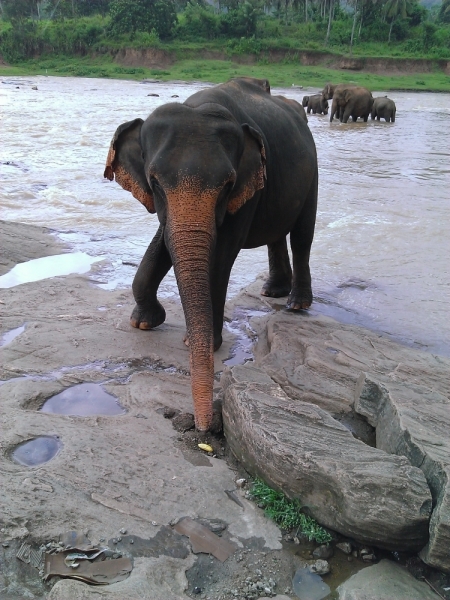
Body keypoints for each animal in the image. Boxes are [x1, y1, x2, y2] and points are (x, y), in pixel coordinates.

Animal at [103, 77, 318, 432]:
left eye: (228, 185)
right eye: (154, 181)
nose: (204, 426)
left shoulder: (247, 186)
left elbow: (221, 255)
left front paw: (197, 343)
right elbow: (165, 240)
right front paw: (145, 323)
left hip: (312, 173)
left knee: (302, 235)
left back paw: (296, 304)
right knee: (277, 235)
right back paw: (273, 292)